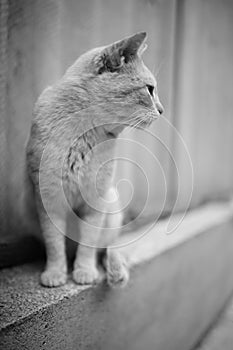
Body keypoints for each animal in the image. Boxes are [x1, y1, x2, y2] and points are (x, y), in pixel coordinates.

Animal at [25, 32, 164, 288]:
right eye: (149, 90)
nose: (162, 110)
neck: (83, 133)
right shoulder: (49, 201)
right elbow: (54, 245)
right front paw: (56, 273)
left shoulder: (95, 202)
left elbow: (88, 246)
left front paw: (84, 272)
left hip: (112, 205)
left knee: (109, 247)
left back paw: (115, 270)